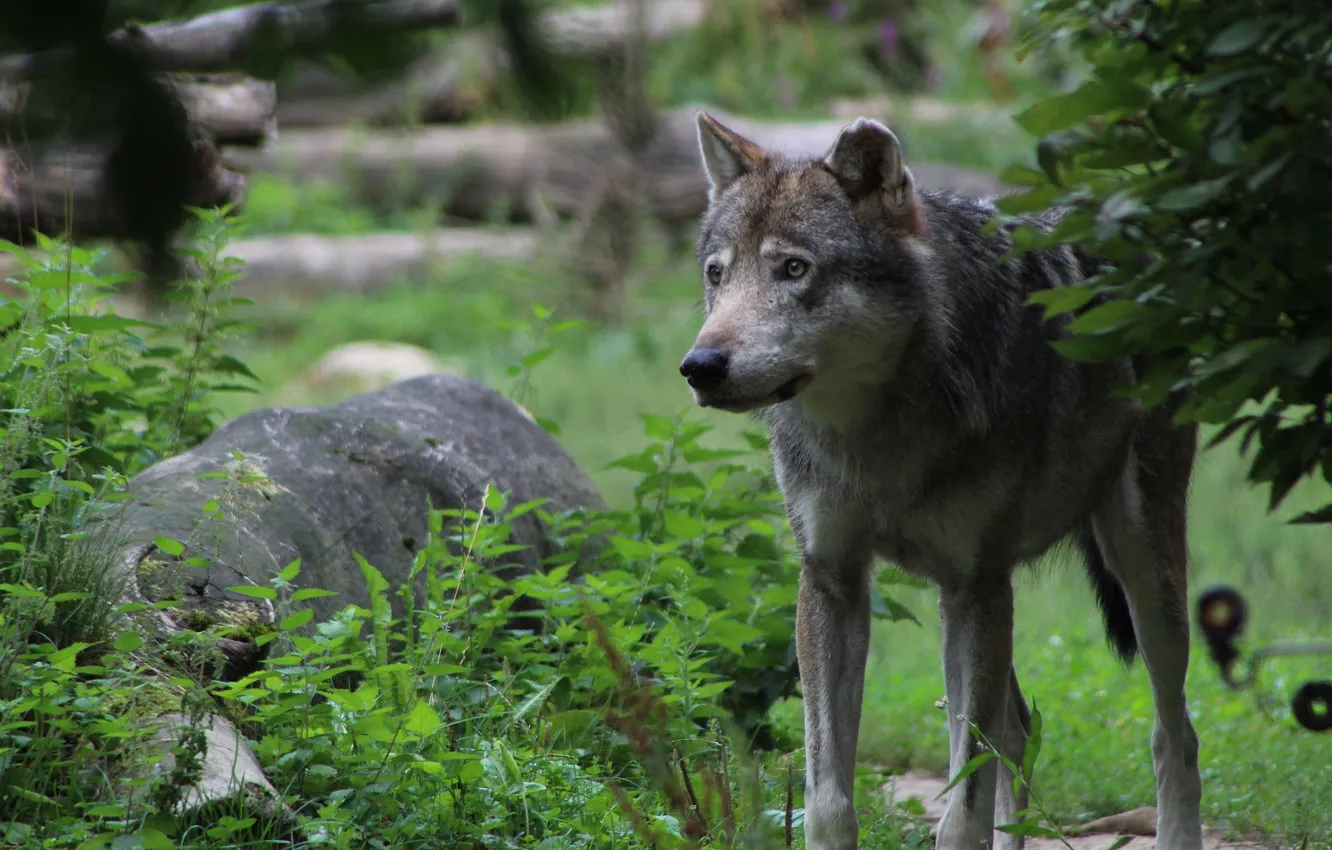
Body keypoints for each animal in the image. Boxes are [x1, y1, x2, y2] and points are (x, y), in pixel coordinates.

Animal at [677, 111, 1204, 850]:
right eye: (717, 275)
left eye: (793, 268)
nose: (699, 366)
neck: (880, 438)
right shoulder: (833, 581)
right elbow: (829, 798)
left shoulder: (973, 586)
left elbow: (963, 809)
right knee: (1020, 730)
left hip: (1141, 579)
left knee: (1173, 734)